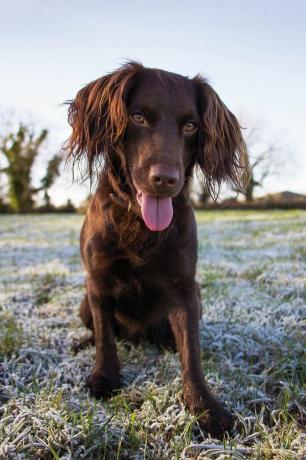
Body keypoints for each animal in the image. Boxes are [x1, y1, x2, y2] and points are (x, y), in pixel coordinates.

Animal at [64, 63, 249, 436]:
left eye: (191, 126)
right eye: (137, 117)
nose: (165, 179)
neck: (139, 223)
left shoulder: (185, 289)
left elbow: (191, 353)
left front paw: (204, 407)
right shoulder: (97, 282)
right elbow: (105, 337)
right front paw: (104, 378)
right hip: (83, 302)